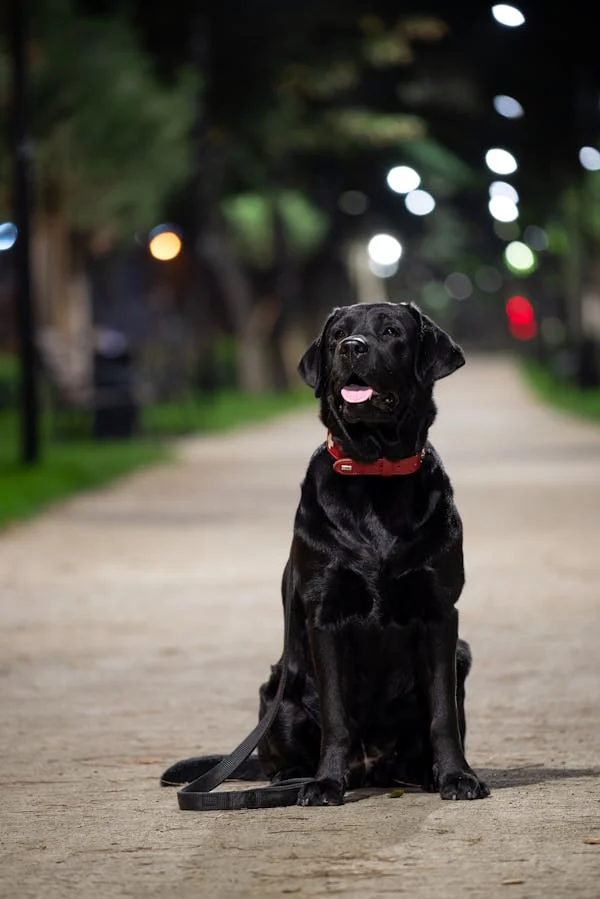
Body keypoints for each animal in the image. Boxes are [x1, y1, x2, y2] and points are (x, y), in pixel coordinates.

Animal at [163, 304, 488, 808]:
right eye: (337, 334)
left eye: (391, 331)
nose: (351, 348)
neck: (376, 474)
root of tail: (372, 767)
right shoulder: (326, 616)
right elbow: (336, 716)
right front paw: (326, 783)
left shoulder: (440, 613)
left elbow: (443, 714)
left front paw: (456, 776)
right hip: (281, 687)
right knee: (280, 757)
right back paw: (294, 780)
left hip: (461, 657)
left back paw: (424, 773)